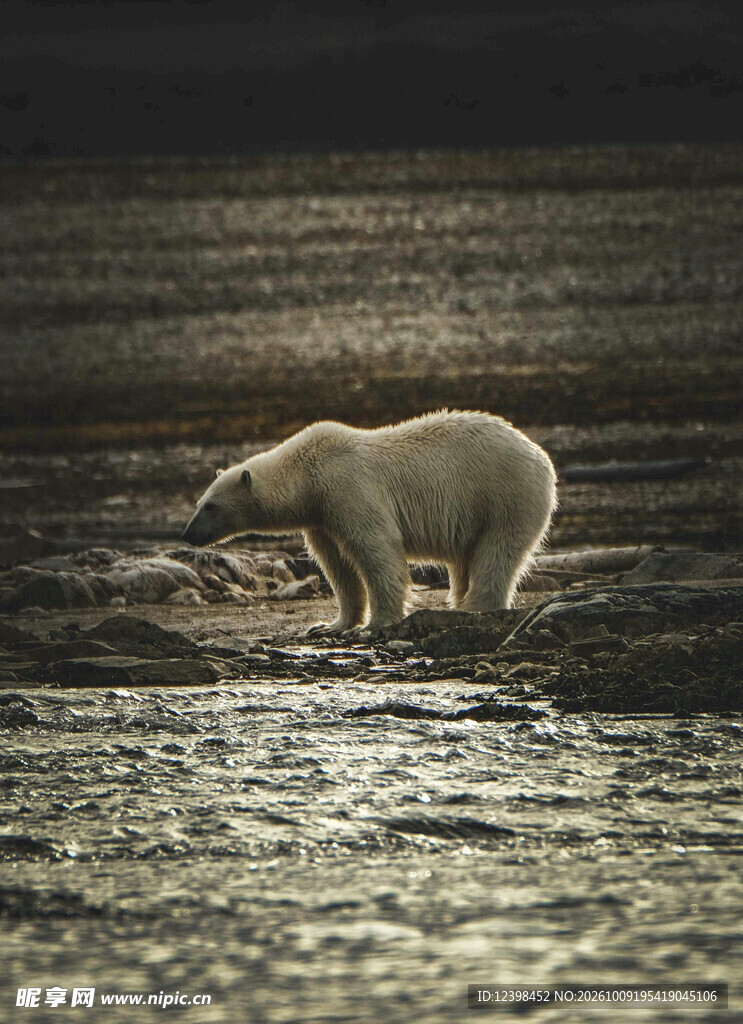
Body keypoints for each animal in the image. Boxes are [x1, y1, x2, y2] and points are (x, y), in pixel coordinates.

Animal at [183, 410, 557, 634]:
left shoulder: (348, 489)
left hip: (505, 495)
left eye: (211, 506)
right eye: (199, 503)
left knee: (497, 551)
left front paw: (377, 624)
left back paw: (475, 607)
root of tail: (538, 453)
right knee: (467, 559)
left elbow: (377, 551)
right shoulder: (321, 518)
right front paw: (331, 624)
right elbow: (337, 567)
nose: (188, 534)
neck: (307, 475)